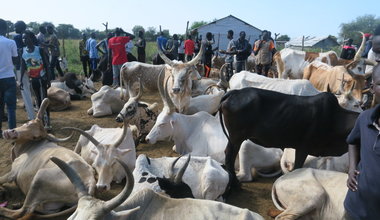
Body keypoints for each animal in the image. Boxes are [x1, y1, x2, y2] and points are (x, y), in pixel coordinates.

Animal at [218, 87, 358, 186]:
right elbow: (297, 167)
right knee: (229, 155)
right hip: (236, 137)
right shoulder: (303, 147)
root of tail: (234, 92)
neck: (335, 118)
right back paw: (235, 184)